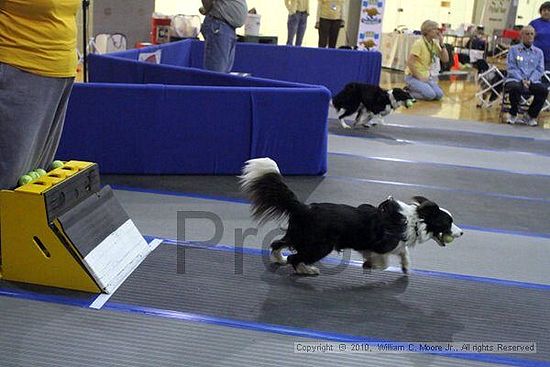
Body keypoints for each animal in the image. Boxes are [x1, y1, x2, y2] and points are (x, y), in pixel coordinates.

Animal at [242, 157, 466, 276]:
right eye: (448, 222)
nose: (463, 233)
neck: (414, 220)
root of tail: (304, 208)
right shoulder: (382, 246)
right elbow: (385, 262)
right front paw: (372, 265)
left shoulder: (387, 245)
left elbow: (403, 253)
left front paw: (404, 267)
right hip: (321, 245)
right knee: (295, 257)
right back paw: (307, 270)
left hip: (298, 235)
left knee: (278, 243)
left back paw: (279, 259)